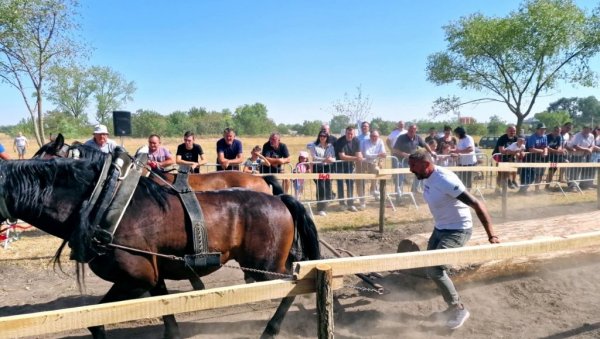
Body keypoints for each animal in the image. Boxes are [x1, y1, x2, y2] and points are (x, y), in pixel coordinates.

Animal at [0, 151, 322, 338]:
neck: (104, 203)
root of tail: (279, 198)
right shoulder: (153, 277)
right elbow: (165, 313)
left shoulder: (135, 279)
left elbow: (96, 321)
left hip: (265, 267)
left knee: (296, 285)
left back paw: (271, 329)